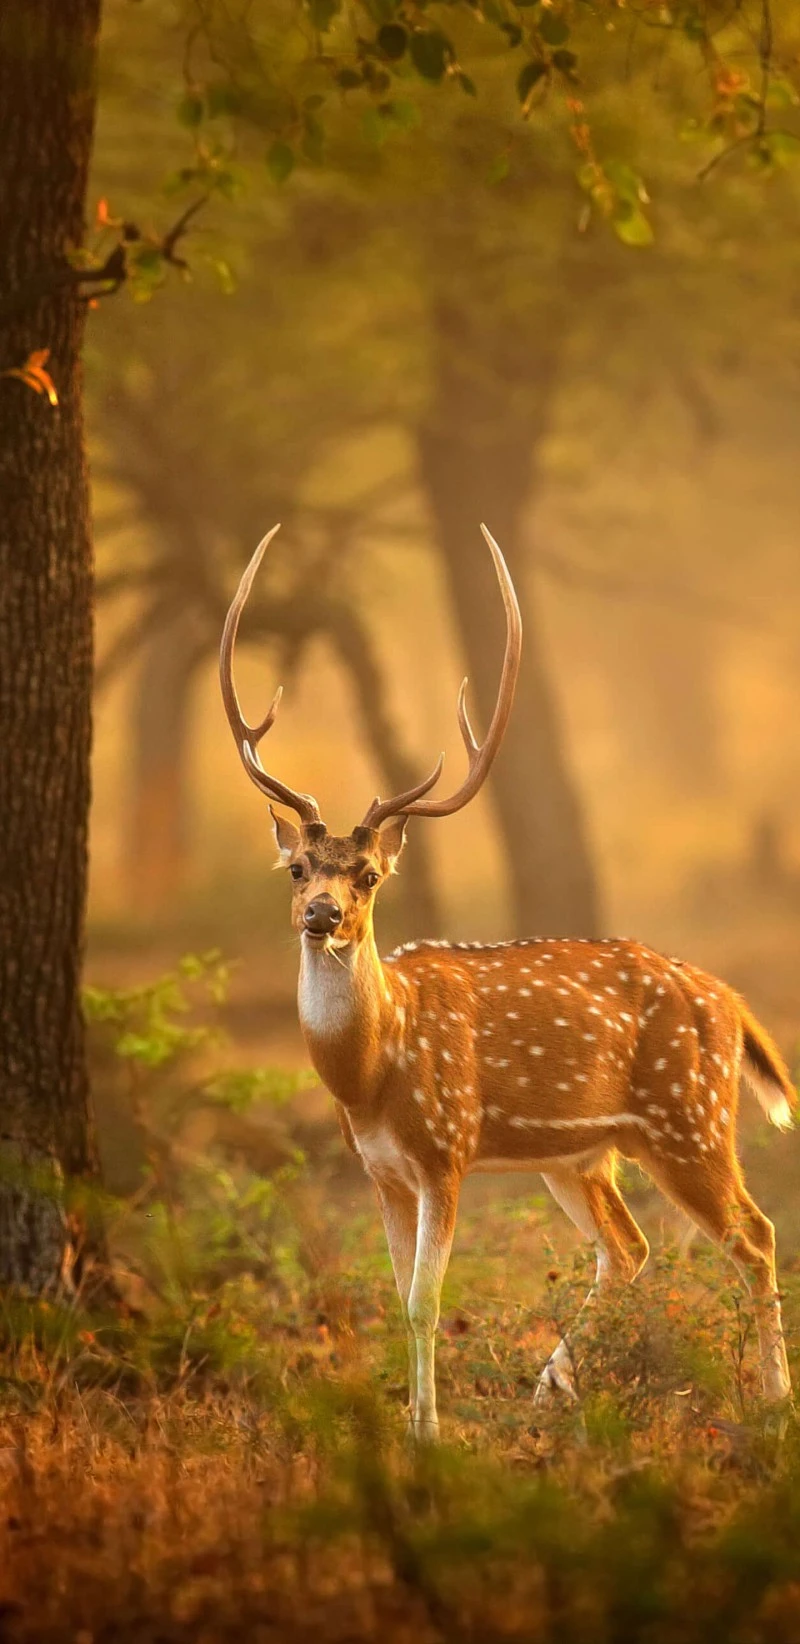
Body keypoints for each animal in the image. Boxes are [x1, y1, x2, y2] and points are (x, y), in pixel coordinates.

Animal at [220, 522, 795, 1442]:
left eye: (369, 874)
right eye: (298, 867)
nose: (321, 914)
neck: (372, 1072)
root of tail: (730, 1002)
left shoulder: (445, 1149)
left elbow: (425, 1300)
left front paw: (427, 1435)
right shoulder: (379, 1169)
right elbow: (399, 1299)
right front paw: (418, 1420)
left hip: (690, 1118)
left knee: (756, 1233)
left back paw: (772, 1401)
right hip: (583, 1153)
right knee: (629, 1246)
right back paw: (550, 1388)